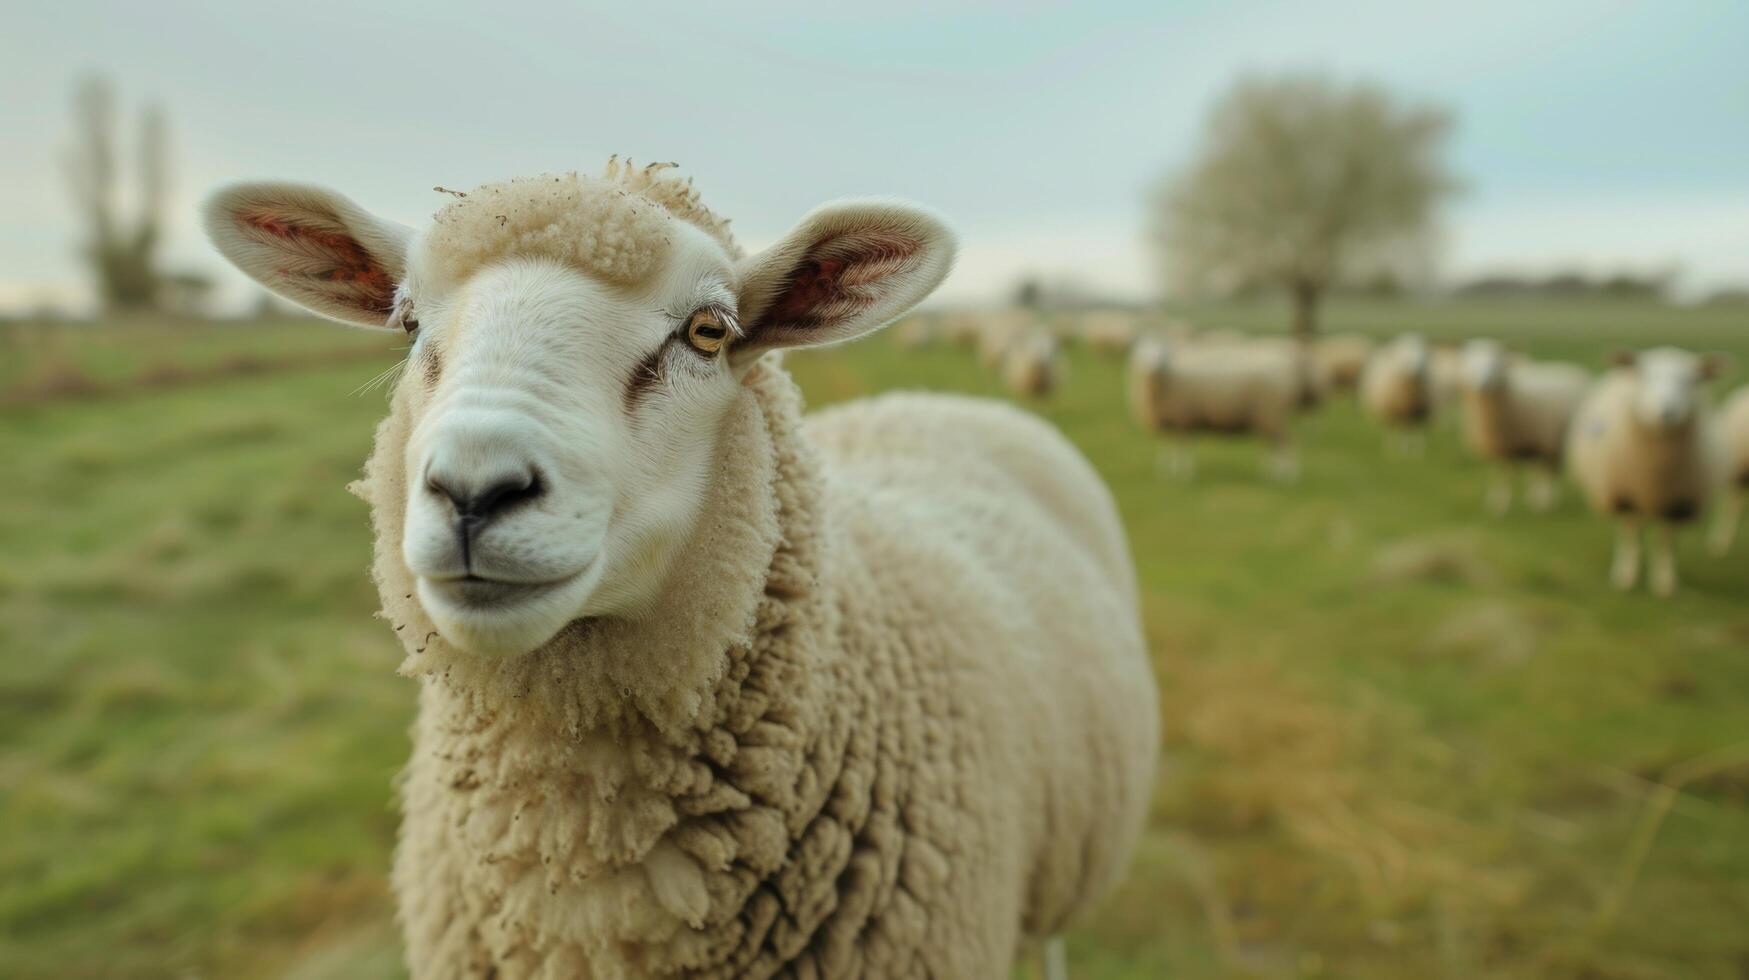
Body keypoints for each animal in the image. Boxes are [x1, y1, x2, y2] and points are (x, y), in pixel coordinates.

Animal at [1126, 330, 1308, 479]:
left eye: (1164, 349)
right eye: (1142, 349)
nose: (1154, 366)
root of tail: (1286, 367)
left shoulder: (1183, 418)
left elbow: (1184, 447)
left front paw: (1183, 473)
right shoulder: (1168, 420)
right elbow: (1167, 446)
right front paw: (1165, 470)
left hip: (1273, 413)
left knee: (1287, 444)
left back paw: (1286, 476)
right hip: (1271, 416)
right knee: (1275, 445)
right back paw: (1271, 472)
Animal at [1455, 341, 1595, 518]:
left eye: (1496, 362)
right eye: (1470, 362)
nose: (1483, 384)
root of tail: (1577, 371)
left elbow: (1510, 474)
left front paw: (1507, 504)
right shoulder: (1503, 447)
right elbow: (1499, 475)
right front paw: (1497, 503)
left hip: (1556, 440)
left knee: (1550, 471)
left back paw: (1548, 500)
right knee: (1542, 470)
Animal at [1567, 348, 1728, 595]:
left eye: (1691, 381)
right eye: (1645, 376)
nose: (1667, 413)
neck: (1656, 474)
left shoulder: (1675, 503)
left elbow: (1665, 541)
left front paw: (1665, 582)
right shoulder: (1625, 496)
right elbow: (1631, 535)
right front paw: (1626, 577)